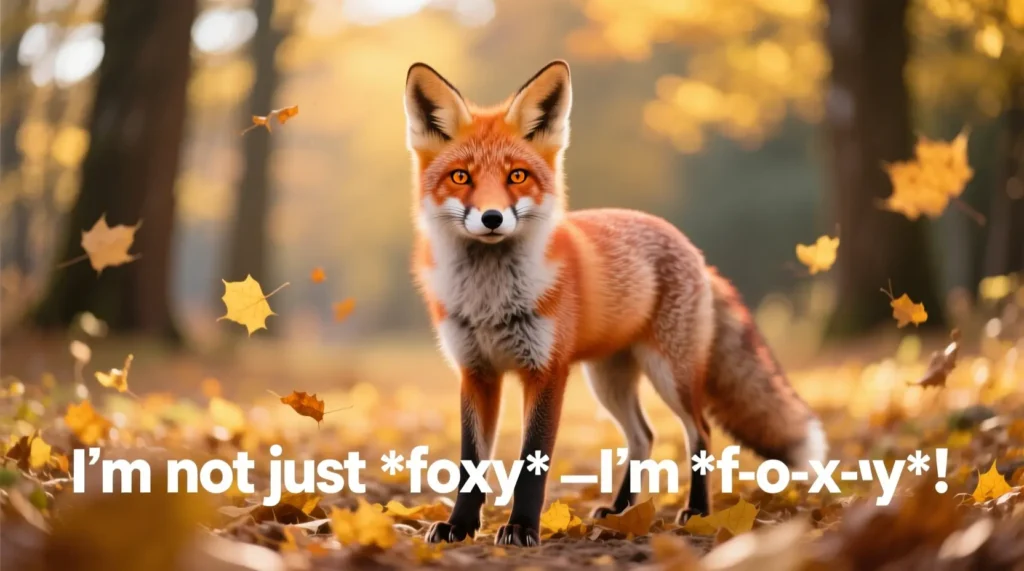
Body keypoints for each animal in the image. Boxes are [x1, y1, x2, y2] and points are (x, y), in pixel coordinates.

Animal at [404, 60, 828, 547]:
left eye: (517, 176)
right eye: (461, 176)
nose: (492, 218)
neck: (490, 299)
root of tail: (695, 251)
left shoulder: (547, 371)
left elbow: (533, 463)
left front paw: (522, 528)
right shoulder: (476, 373)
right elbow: (470, 464)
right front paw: (459, 526)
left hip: (671, 375)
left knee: (699, 433)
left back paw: (696, 511)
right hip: (609, 381)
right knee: (643, 436)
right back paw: (623, 511)